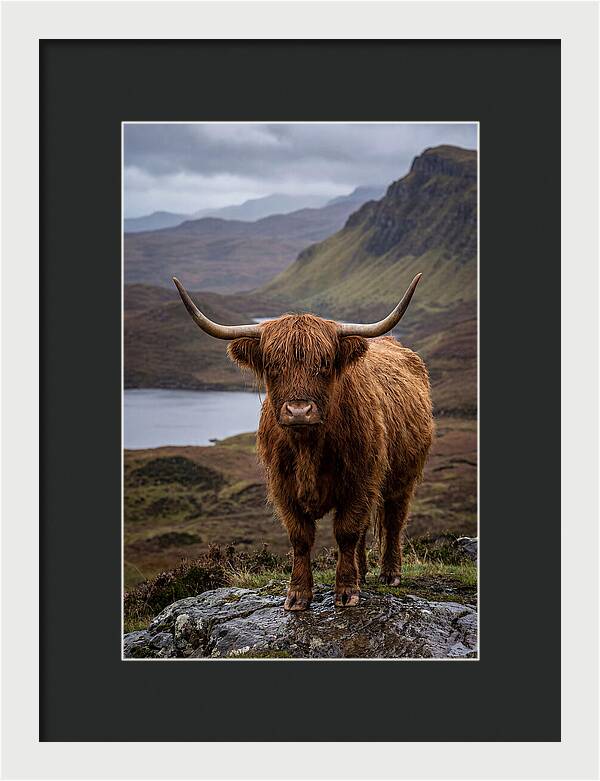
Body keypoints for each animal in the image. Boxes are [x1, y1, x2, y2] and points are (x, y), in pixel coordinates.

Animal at [173, 275, 434, 611]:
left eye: (324, 364)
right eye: (272, 365)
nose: (299, 411)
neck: (308, 447)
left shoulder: (360, 481)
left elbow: (346, 531)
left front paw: (346, 591)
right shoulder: (283, 487)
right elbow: (301, 537)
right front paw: (298, 595)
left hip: (403, 477)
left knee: (393, 520)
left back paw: (390, 574)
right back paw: (363, 573)